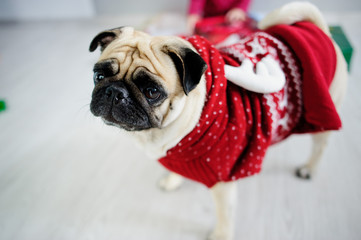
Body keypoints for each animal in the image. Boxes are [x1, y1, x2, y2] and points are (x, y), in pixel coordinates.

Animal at [87, 2, 346, 240]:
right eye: (98, 76)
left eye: (152, 91)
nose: (115, 92)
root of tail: (316, 28)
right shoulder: (178, 155)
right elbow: (176, 170)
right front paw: (172, 181)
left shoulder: (223, 183)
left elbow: (224, 216)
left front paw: (220, 235)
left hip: (323, 114)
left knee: (320, 146)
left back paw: (308, 169)